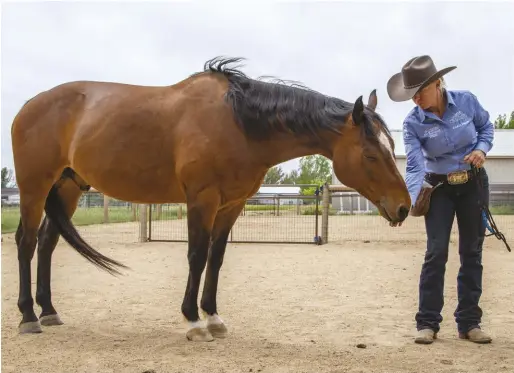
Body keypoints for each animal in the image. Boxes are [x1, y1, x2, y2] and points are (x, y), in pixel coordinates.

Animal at [10, 56, 410, 340]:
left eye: (391, 148)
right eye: (371, 155)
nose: (404, 207)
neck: (237, 122)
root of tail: (29, 105)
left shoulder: (231, 205)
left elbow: (216, 259)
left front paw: (213, 316)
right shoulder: (202, 199)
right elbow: (196, 256)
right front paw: (192, 321)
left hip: (67, 188)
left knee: (46, 243)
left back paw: (49, 311)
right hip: (34, 188)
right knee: (26, 242)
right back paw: (29, 317)